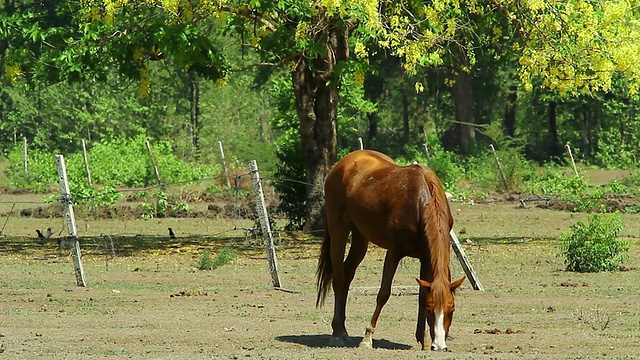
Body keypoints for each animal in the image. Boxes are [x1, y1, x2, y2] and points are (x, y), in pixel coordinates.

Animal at [316, 149, 462, 352]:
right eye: (431, 309)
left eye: (452, 309)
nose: (439, 346)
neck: (419, 203)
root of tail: (343, 163)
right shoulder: (394, 253)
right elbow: (383, 294)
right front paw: (367, 338)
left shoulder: (426, 258)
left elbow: (421, 295)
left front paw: (423, 340)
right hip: (339, 229)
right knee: (339, 278)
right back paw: (337, 333)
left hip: (360, 236)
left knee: (348, 273)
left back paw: (343, 329)